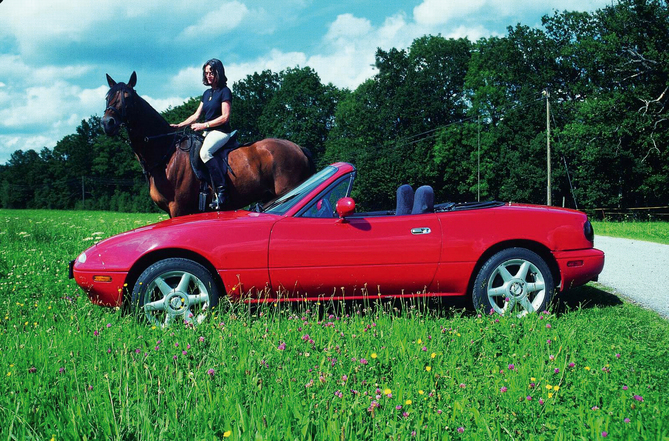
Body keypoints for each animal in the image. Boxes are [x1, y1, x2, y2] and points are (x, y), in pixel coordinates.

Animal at [102, 72, 316, 218]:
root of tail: (299, 148)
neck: (166, 155)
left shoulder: (178, 208)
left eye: (127, 97)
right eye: (107, 97)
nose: (107, 123)